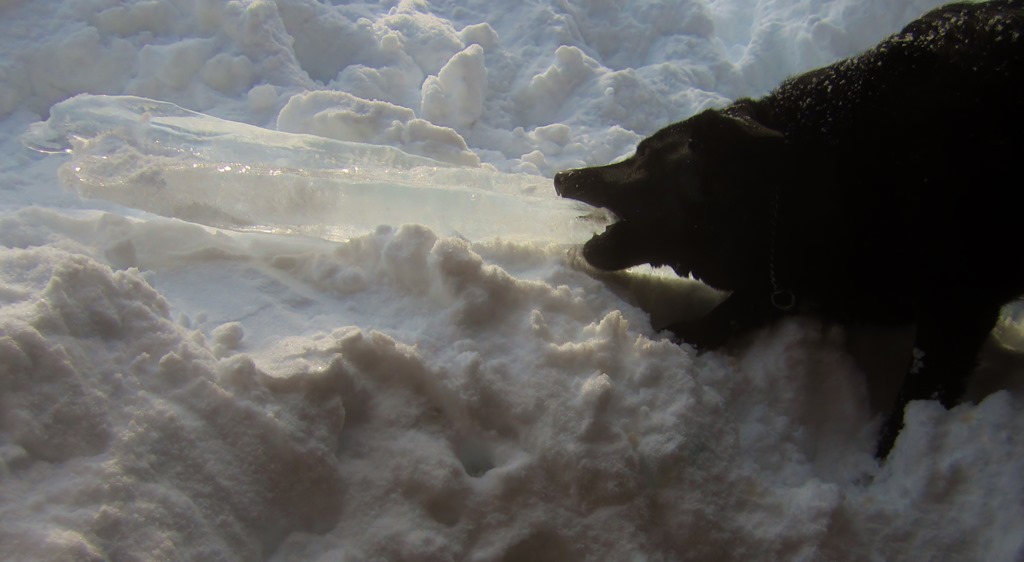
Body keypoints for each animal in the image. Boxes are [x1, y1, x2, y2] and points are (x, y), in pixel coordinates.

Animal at [554, 0, 1024, 459]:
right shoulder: (793, 276)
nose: (562, 177)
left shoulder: (960, 306)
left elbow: (914, 400)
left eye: (644, 156)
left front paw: (889, 465)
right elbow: (734, 309)